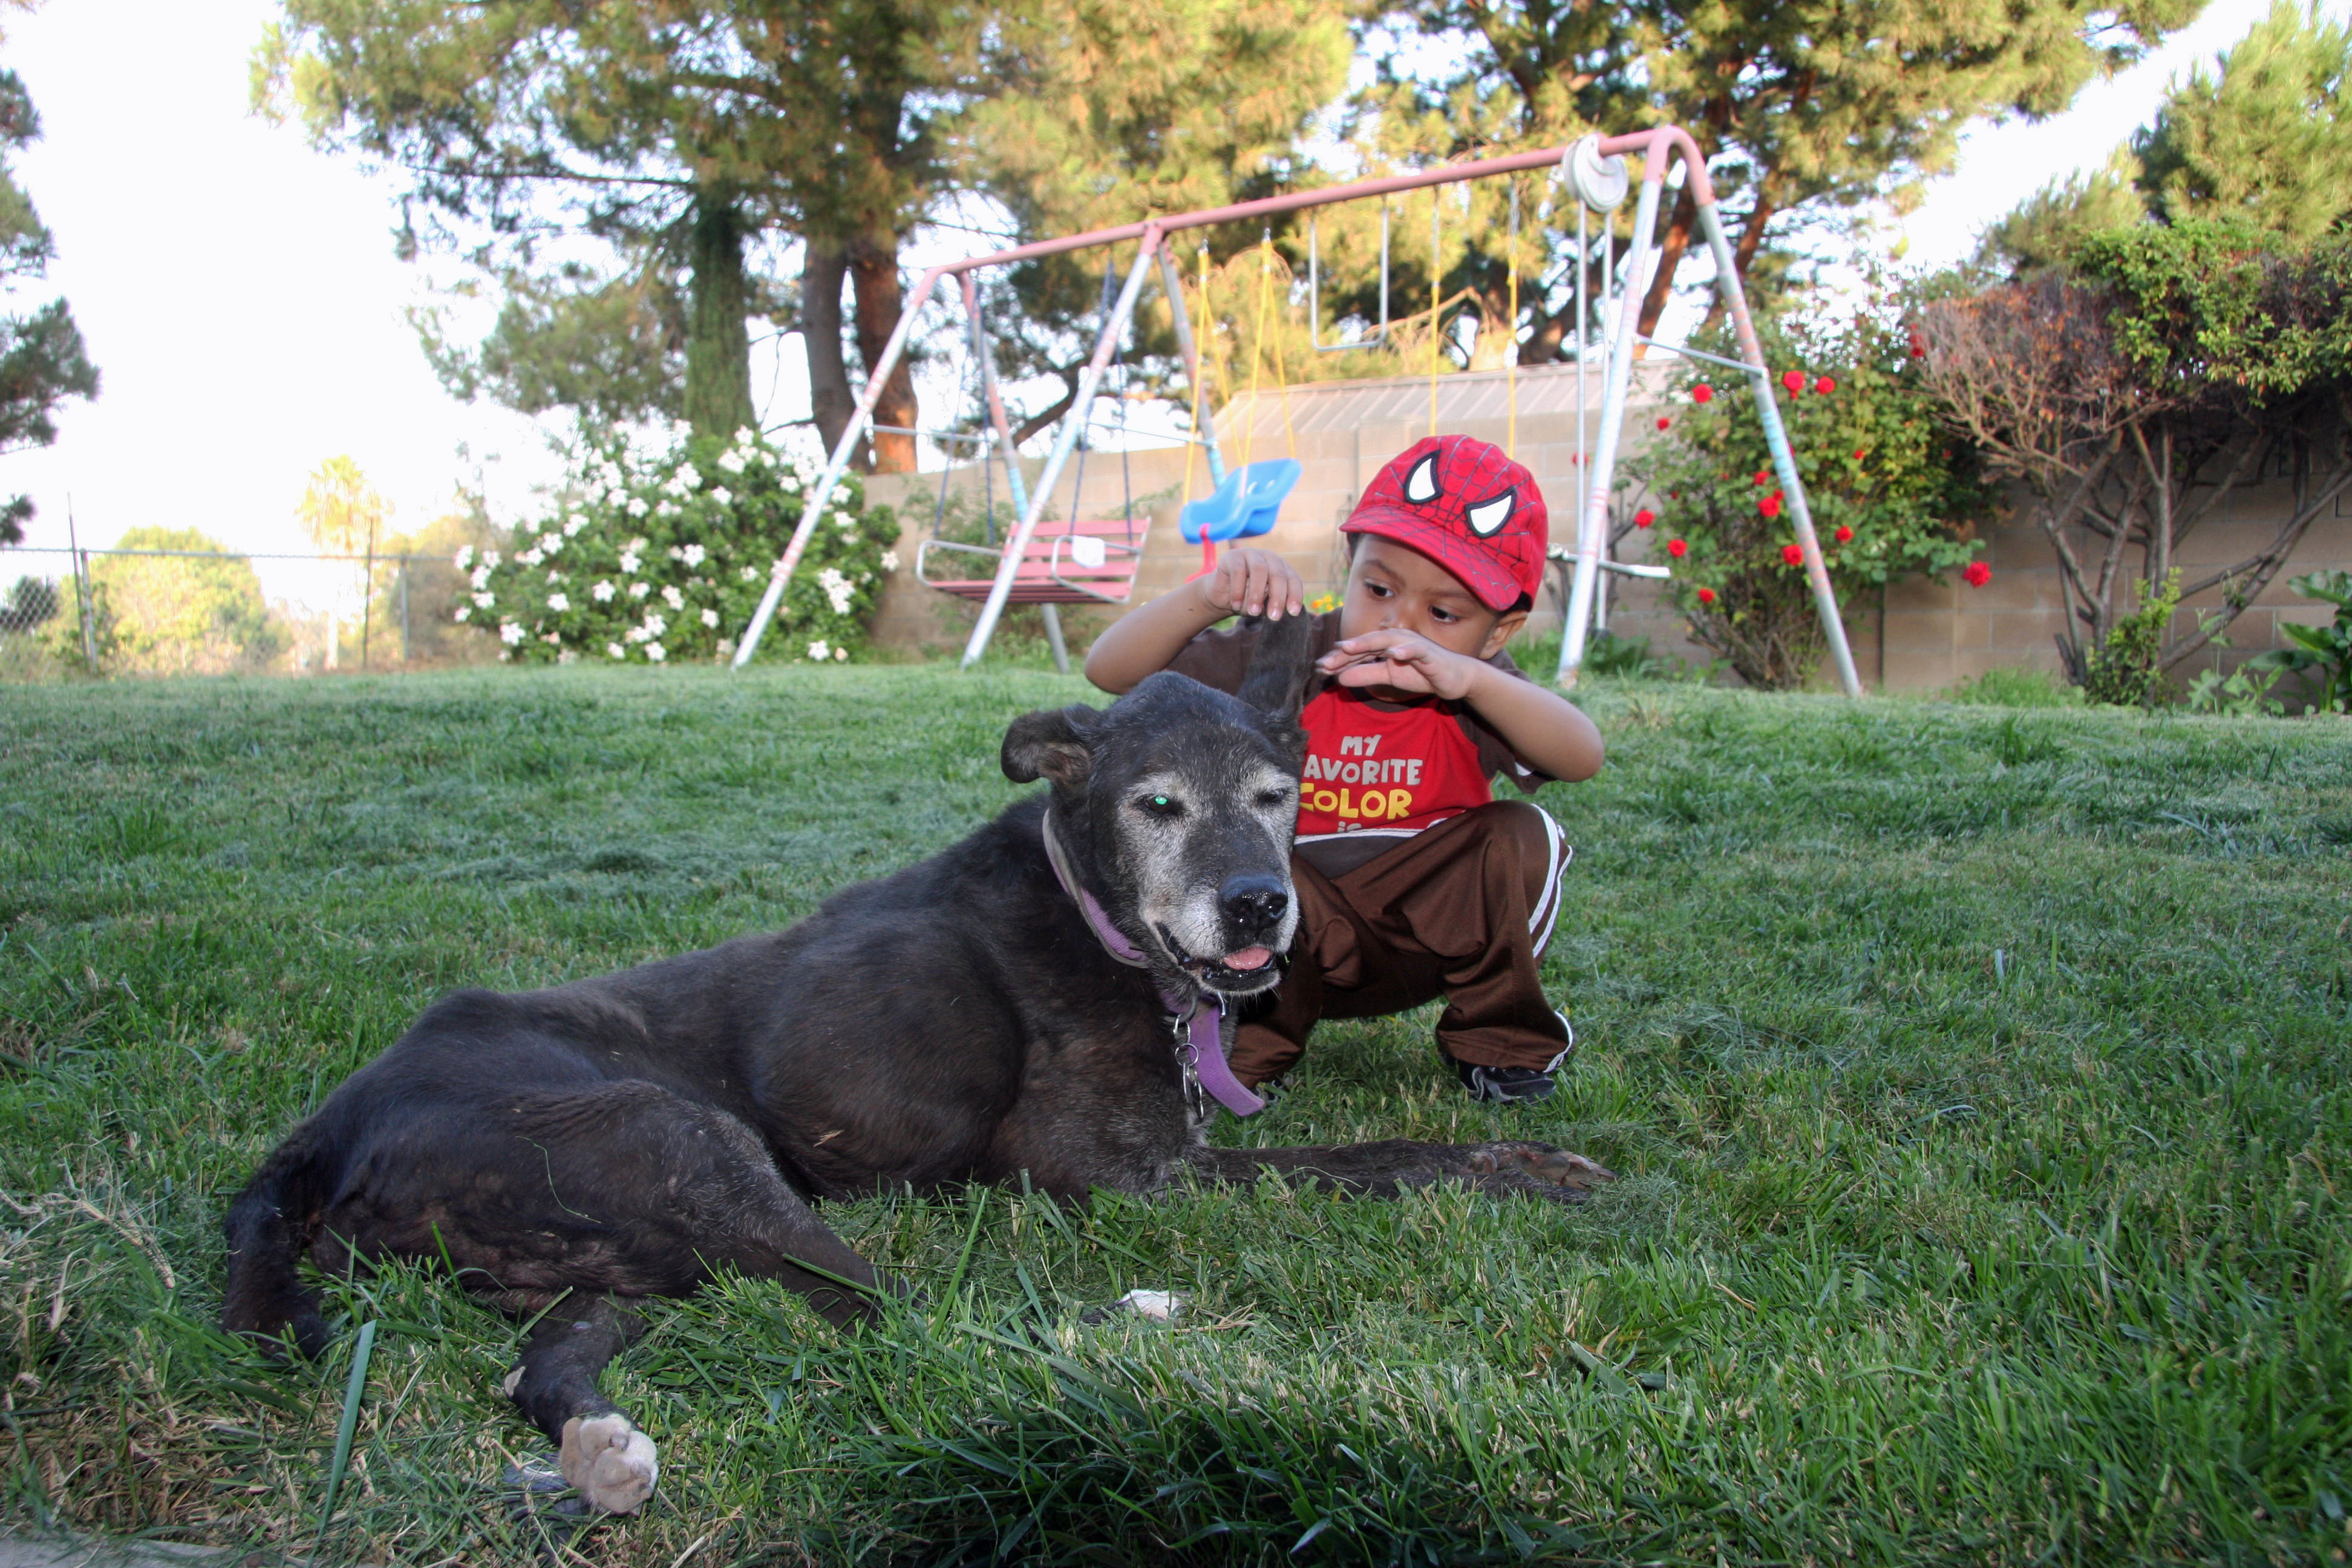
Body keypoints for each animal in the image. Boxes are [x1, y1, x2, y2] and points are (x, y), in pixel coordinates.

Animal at [220, 612, 1613, 1515]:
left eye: (1278, 795)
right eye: (1157, 805)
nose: (1262, 909)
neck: (1092, 910)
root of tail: (321, 1126)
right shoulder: (1125, 1175)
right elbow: (1372, 1158)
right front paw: (1529, 1167)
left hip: (607, 1260)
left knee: (545, 1363)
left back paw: (602, 1452)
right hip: (677, 1139)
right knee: (913, 1311)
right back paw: (1141, 1325)